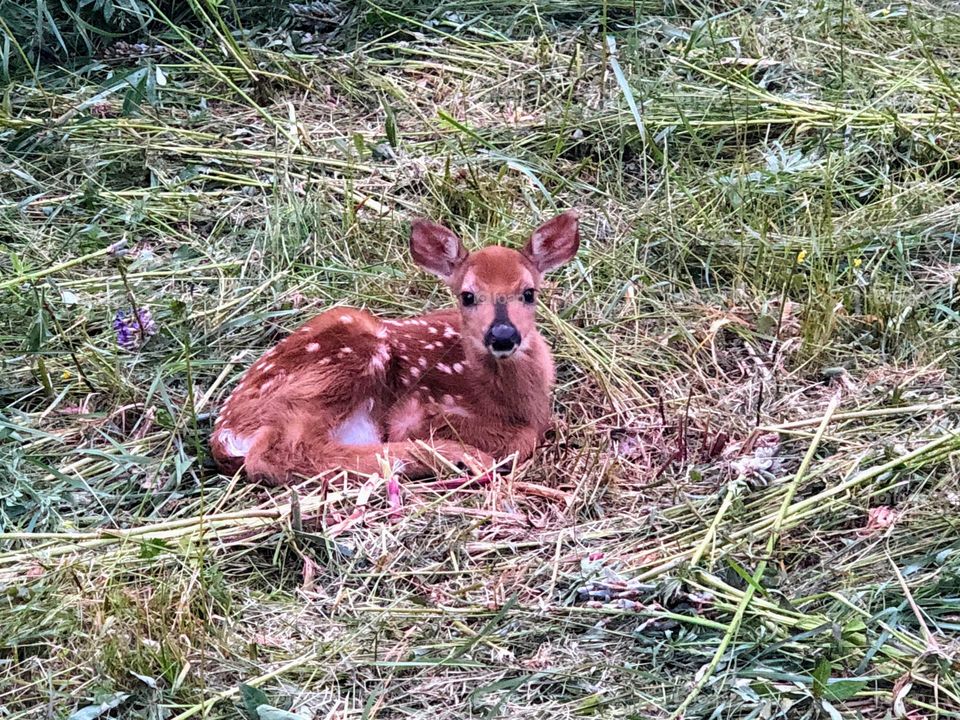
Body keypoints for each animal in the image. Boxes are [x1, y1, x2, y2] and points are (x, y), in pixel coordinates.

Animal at [211, 211, 580, 486]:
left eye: (529, 293)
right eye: (467, 295)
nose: (503, 335)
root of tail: (225, 431)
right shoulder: (415, 409)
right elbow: (520, 439)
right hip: (345, 355)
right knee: (277, 453)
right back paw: (455, 457)